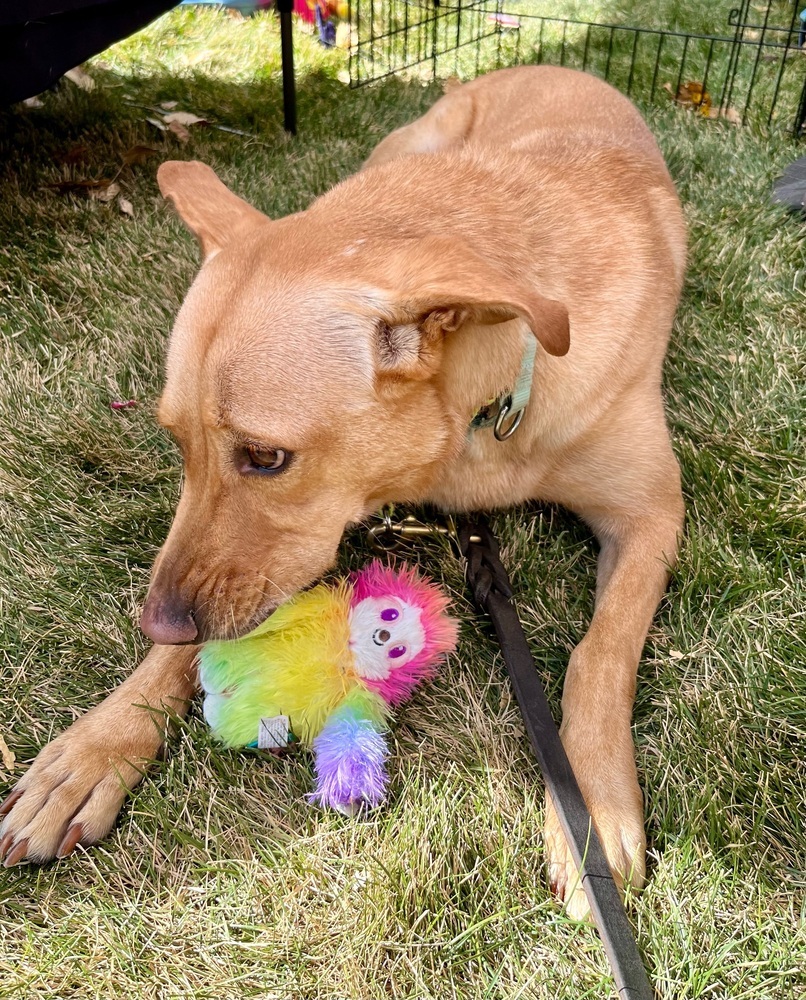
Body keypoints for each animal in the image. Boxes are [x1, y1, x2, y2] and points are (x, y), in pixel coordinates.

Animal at [1, 64, 688, 920]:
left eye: (266, 456)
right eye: (176, 442)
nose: (156, 620)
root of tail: (551, 65)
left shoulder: (652, 514)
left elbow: (601, 654)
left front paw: (590, 804)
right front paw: (99, 742)